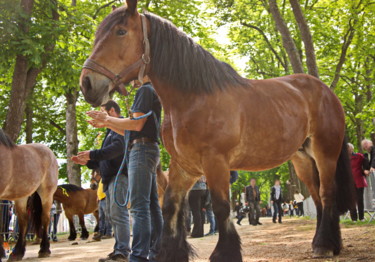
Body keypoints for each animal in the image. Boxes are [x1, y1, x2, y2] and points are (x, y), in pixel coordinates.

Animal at [0, 128, 58, 260]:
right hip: (22, 196)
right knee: (24, 221)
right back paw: (17, 253)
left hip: (46, 194)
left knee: (45, 218)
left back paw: (44, 250)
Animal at [78, 1, 356, 260]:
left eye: (121, 31)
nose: (87, 84)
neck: (195, 98)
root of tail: (326, 92)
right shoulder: (184, 166)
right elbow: (171, 207)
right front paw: (170, 253)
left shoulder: (216, 162)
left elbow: (222, 207)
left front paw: (225, 253)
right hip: (302, 158)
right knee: (317, 197)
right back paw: (325, 243)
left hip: (325, 153)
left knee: (327, 193)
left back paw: (324, 244)